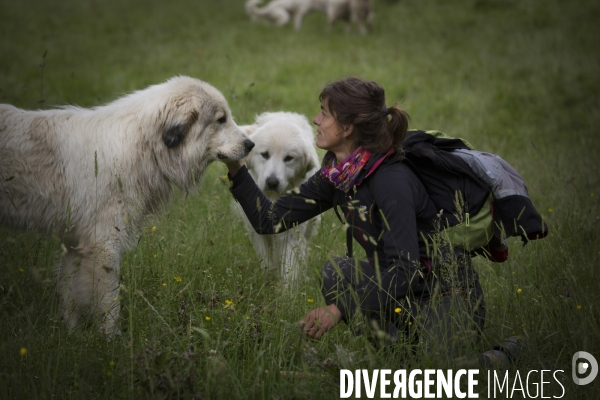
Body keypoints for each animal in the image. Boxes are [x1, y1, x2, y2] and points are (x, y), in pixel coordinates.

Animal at [0, 76, 253, 336]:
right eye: (221, 120)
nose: (251, 144)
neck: (145, 144)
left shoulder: (74, 244)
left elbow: (69, 295)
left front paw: (72, 334)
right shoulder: (104, 245)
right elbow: (109, 302)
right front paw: (110, 340)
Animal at [236, 112, 324, 286]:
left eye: (289, 158)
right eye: (265, 154)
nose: (272, 182)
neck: (273, 198)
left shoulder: (293, 232)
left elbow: (289, 266)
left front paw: (287, 291)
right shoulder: (259, 231)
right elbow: (267, 261)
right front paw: (268, 281)